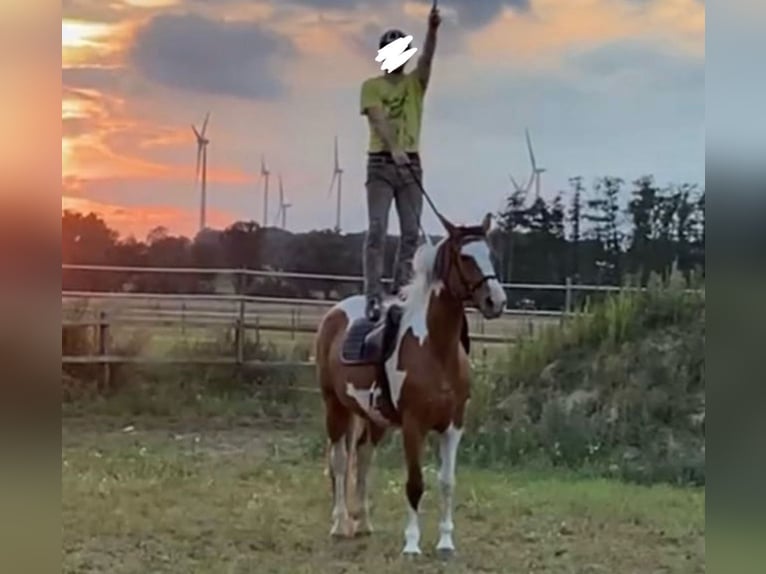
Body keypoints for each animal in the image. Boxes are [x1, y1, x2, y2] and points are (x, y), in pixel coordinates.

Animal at [316, 214, 508, 556]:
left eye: (491, 254)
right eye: (465, 258)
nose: (496, 301)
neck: (435, 349)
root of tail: (336, 312)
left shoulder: (454, 425)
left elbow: (447, 482)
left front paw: (445, 542)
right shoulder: (412, 425)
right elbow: (415, 483)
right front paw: (412, 544)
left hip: (373, 418)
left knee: (363, 459)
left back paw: (363, 523)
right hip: (334, 406)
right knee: (339, 461)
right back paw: (340, 525)